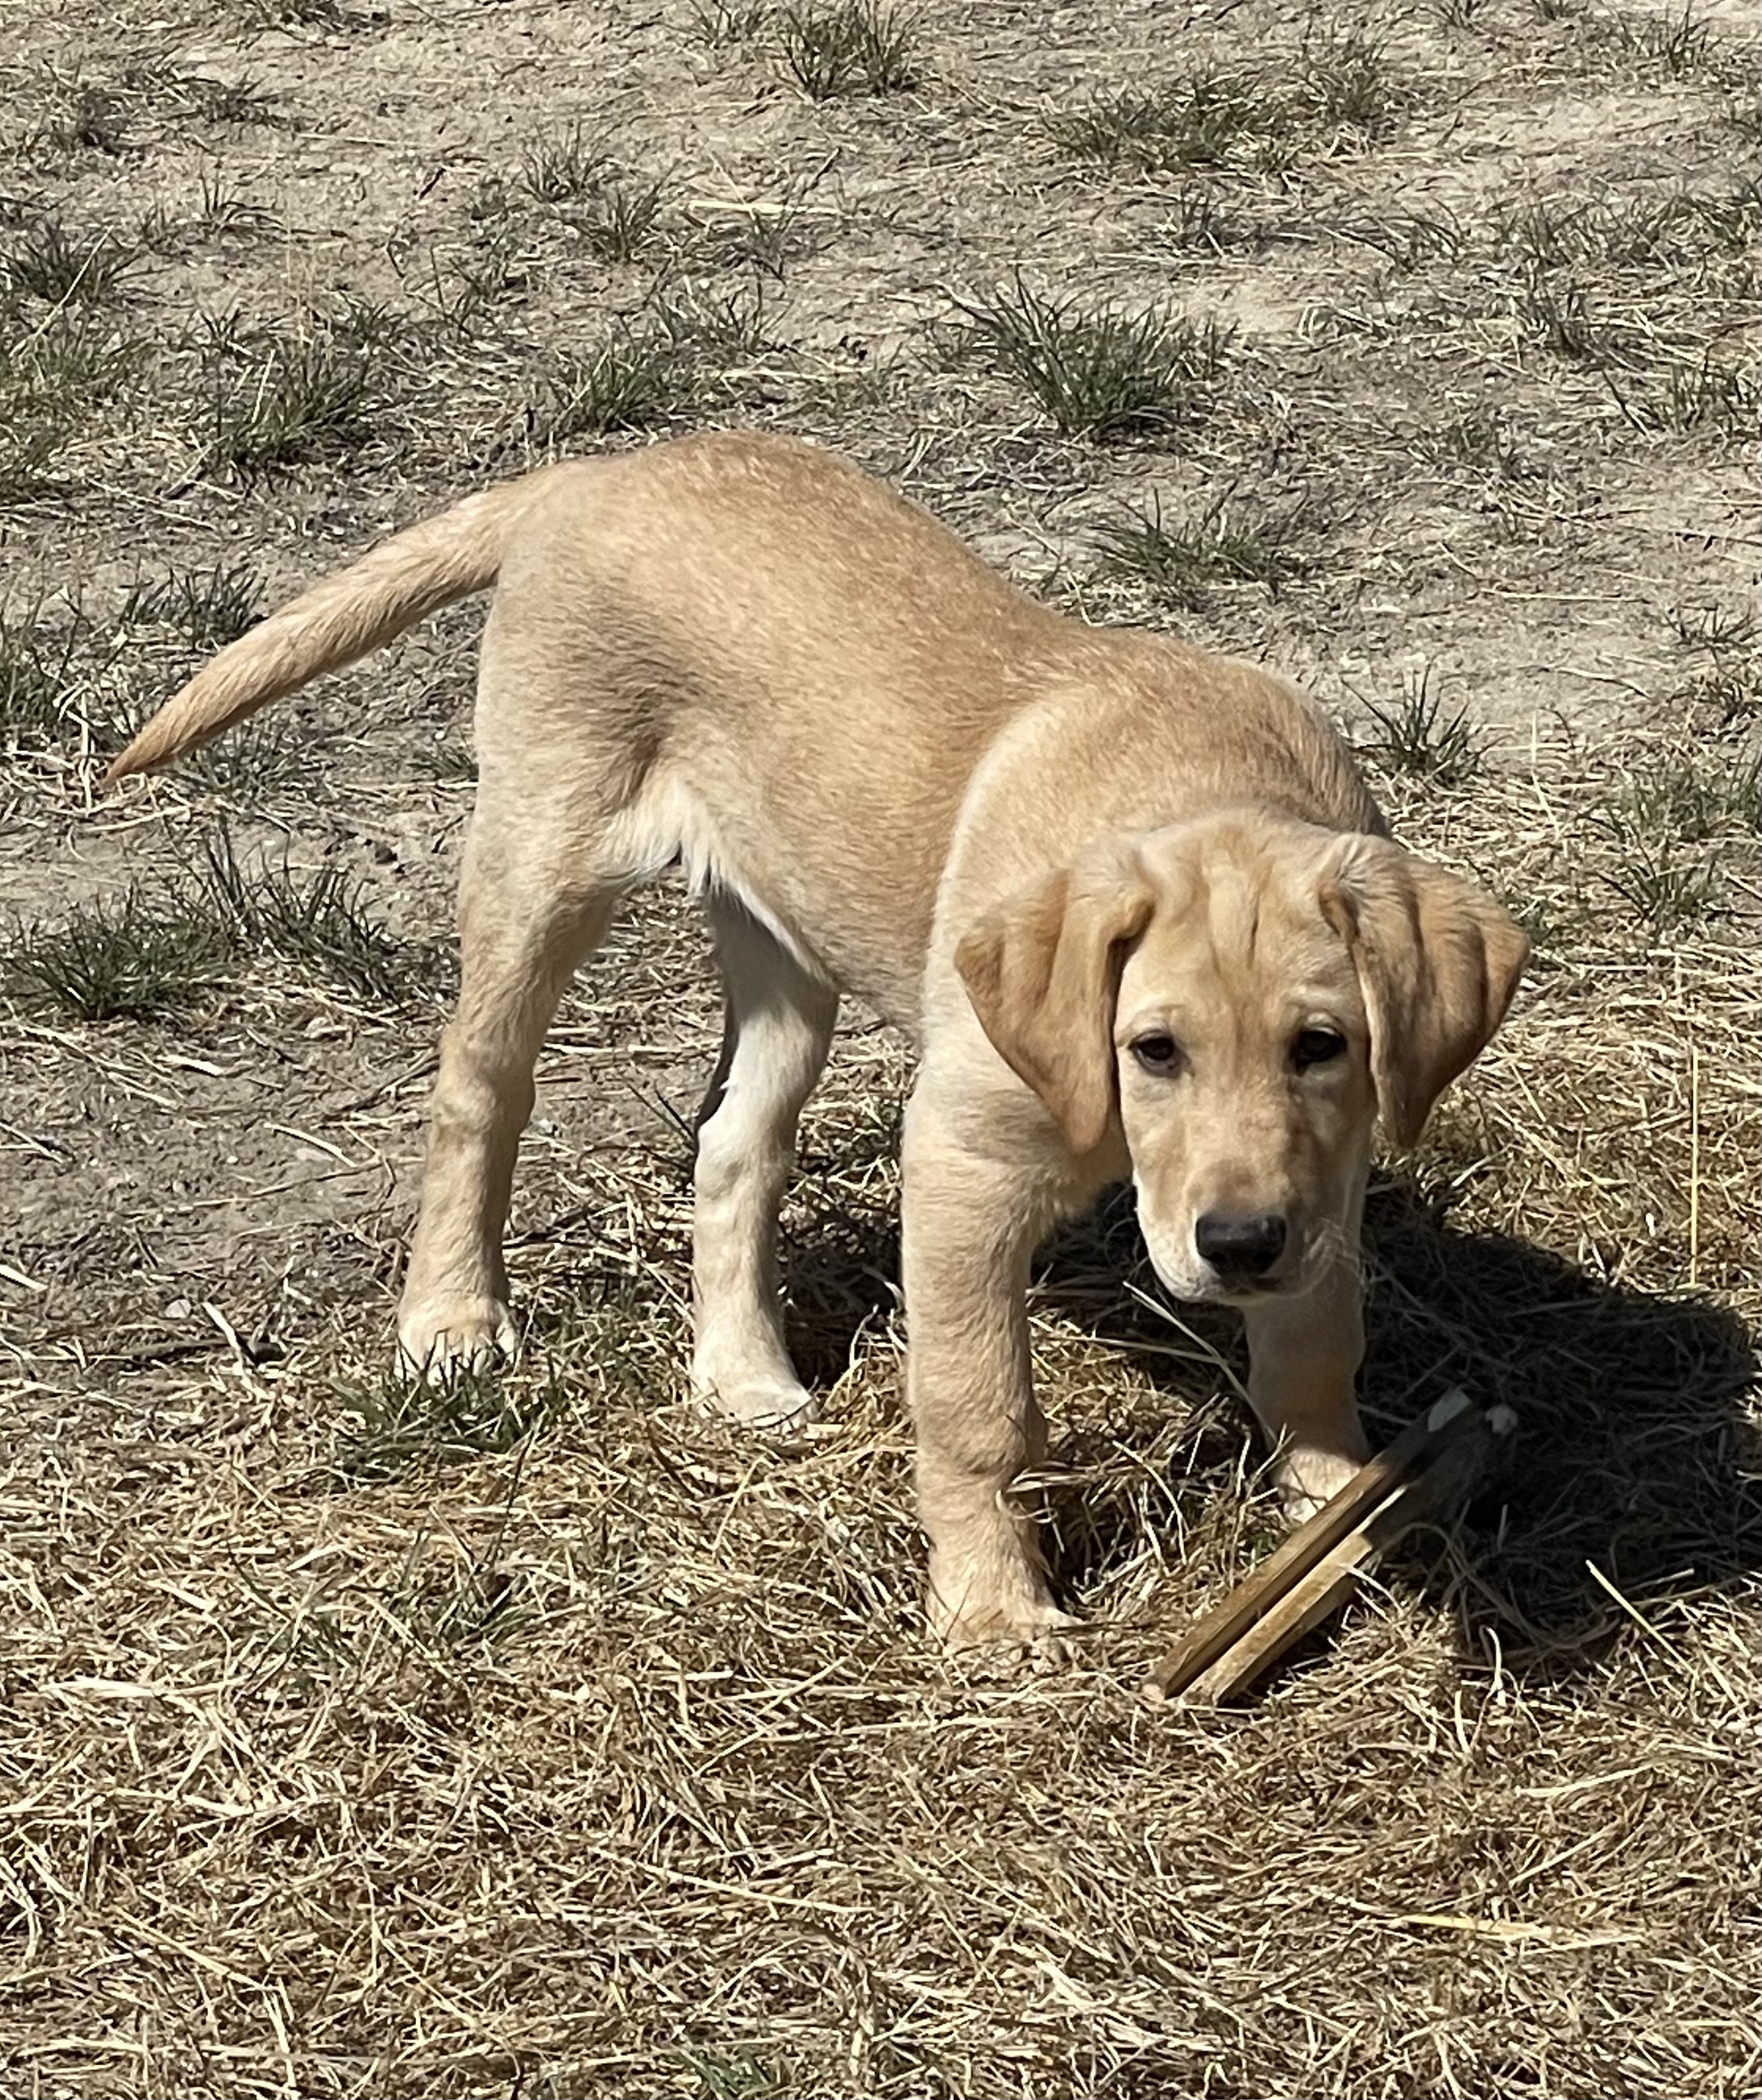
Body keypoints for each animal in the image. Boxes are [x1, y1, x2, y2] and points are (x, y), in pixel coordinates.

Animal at [103, 435, 1520, 1654]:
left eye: (1321, 1045)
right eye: (1152, 1048)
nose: (1233, 1247)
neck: (1202, 782)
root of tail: (600, 465)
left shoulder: (1323, 1179)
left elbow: (1314, 1347)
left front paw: (1340, 1503)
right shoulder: (961, 1163)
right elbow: (978, 1404)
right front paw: (990, 1610)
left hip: (785, 950)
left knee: (731, 1144)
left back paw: (740, 1375)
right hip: (539, 862)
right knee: (477, 1093)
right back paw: (452, 1316)